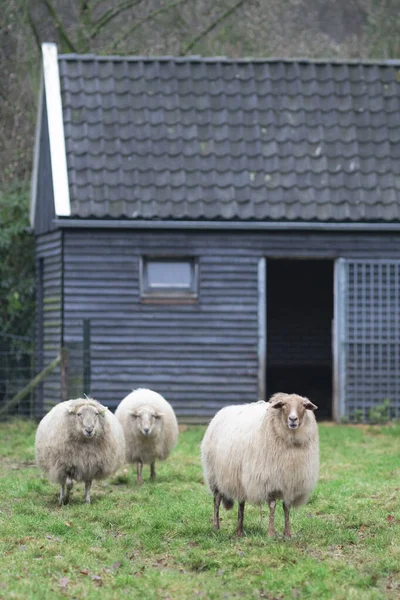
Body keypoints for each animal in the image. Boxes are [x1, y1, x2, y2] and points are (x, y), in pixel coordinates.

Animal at [200, 394, 318, 540]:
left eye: (304, 405)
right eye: (283, 405)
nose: (293, 419)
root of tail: (221, 412)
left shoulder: (289, 482)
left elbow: (286, 506)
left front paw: (287, 533)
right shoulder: (269, 481)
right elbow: (272, 505)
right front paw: (271, 533)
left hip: (239, 478)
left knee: (241, 502)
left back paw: (239, 531)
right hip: (214, 476)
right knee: (216, 500)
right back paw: (216, 527)